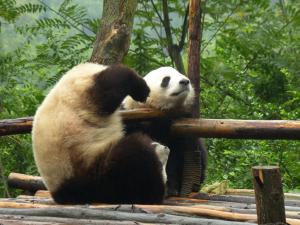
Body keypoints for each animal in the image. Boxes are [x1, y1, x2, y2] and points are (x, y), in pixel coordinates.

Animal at [122, 66, 206, 195]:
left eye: (180, 74)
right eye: (166, 79)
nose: (185, 81)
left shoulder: (180, 128)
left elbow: (176, 156)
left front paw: (171, 188)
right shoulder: (130, 118)